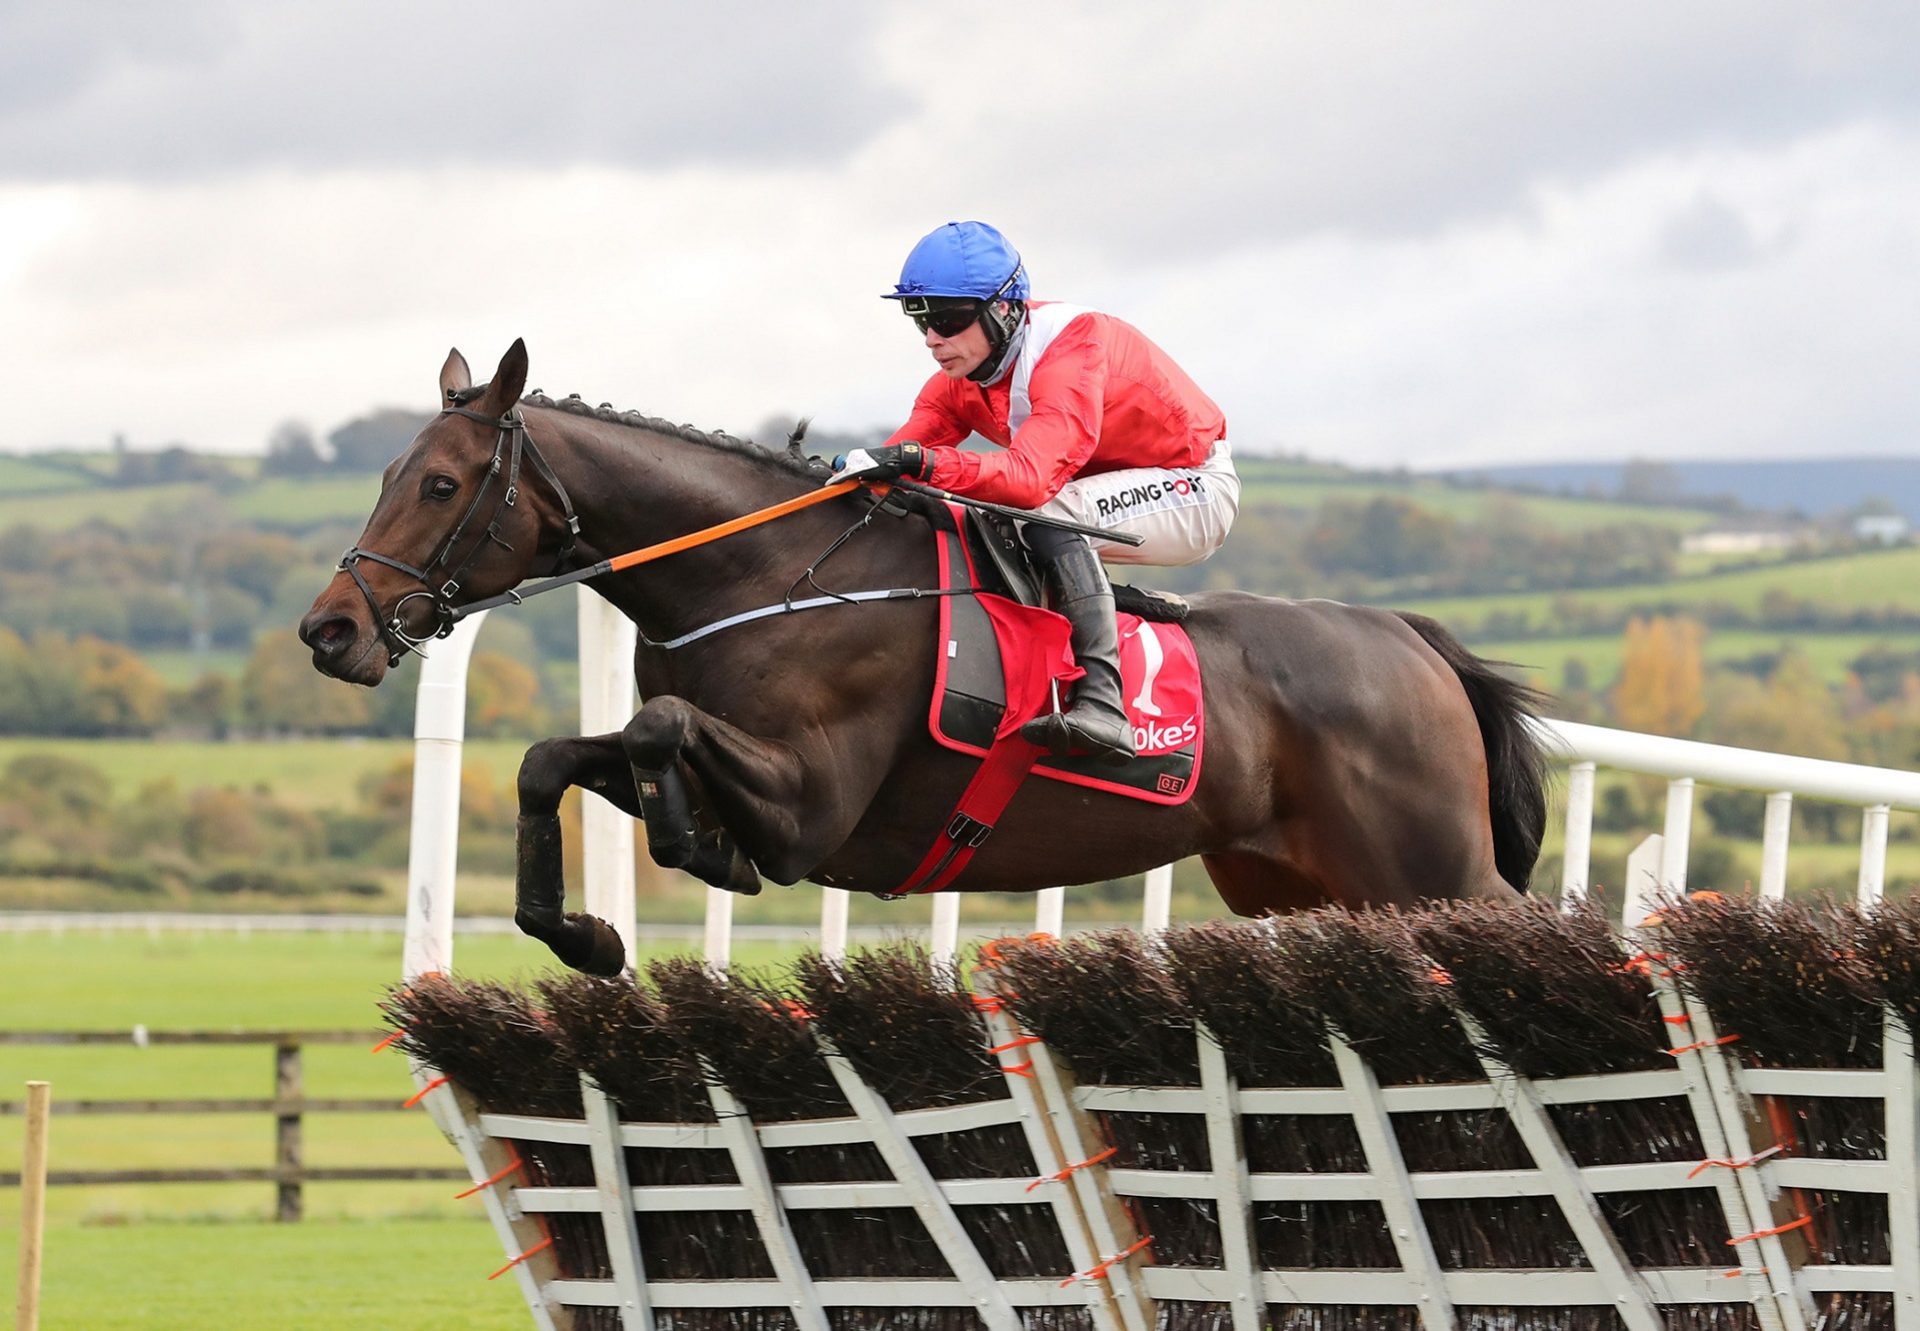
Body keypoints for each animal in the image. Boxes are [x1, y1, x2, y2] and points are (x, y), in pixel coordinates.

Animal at [303, 338, 1559, 971]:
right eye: (387, 470)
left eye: (440, 482)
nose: (332, 629)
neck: (766, 574)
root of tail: (1411, 638)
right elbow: (552, 759)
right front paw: (587, 929)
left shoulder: (812, 806)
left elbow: (661, 735)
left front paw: (697, 847)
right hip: (1301, 884)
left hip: (1429, 862)